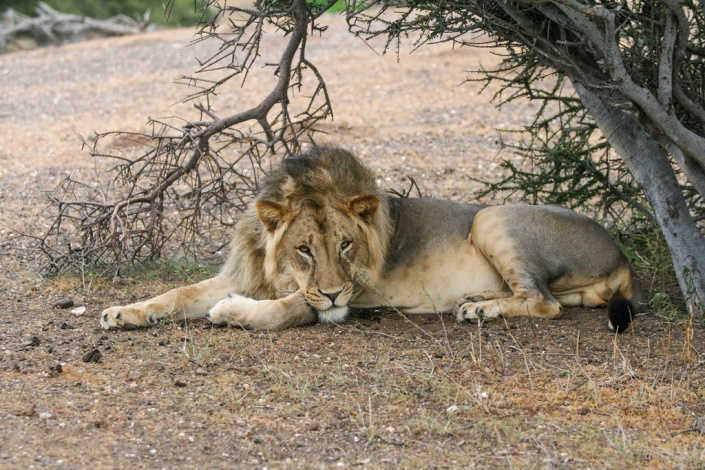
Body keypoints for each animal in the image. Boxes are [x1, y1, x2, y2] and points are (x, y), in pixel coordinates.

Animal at [101, 146, 646, 333]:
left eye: (345, 245)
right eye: (304, 248)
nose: (332, 292)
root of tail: (621, 253)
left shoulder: (354, 289)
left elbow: (288, 309)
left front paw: (232, 312)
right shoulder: (249, 272)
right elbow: (179, 293)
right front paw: (124, 312)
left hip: (491, 217)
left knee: (544, 302)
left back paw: (480, 309)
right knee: (544, 296)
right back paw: (475, 299)